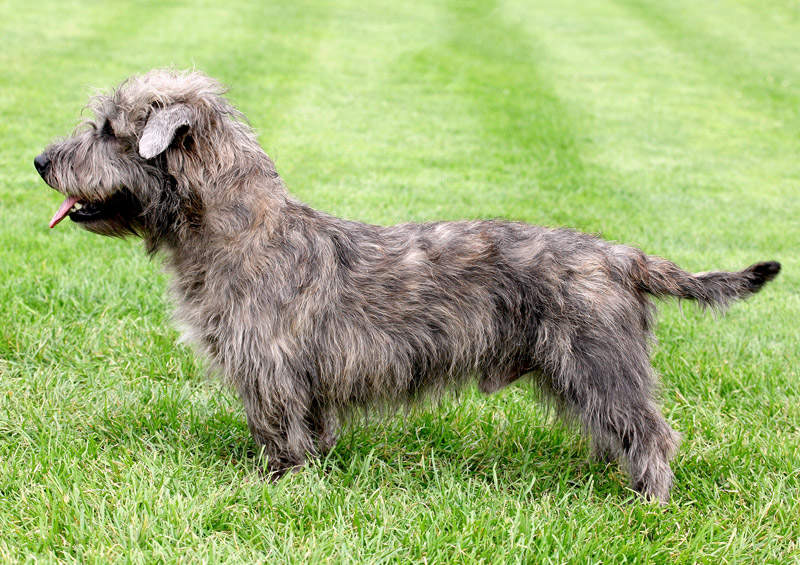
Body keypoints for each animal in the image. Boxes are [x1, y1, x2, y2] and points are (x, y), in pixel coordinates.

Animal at [34, 70, 780, 502]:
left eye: (108, 130)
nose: (41, 160)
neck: (235, 230)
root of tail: (621, 254)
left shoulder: (270, 368)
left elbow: (279, 429)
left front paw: (276, 487)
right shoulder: (298, 378)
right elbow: (309, 428)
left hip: (598, 362)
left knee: (652, 432)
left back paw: (647, 502)